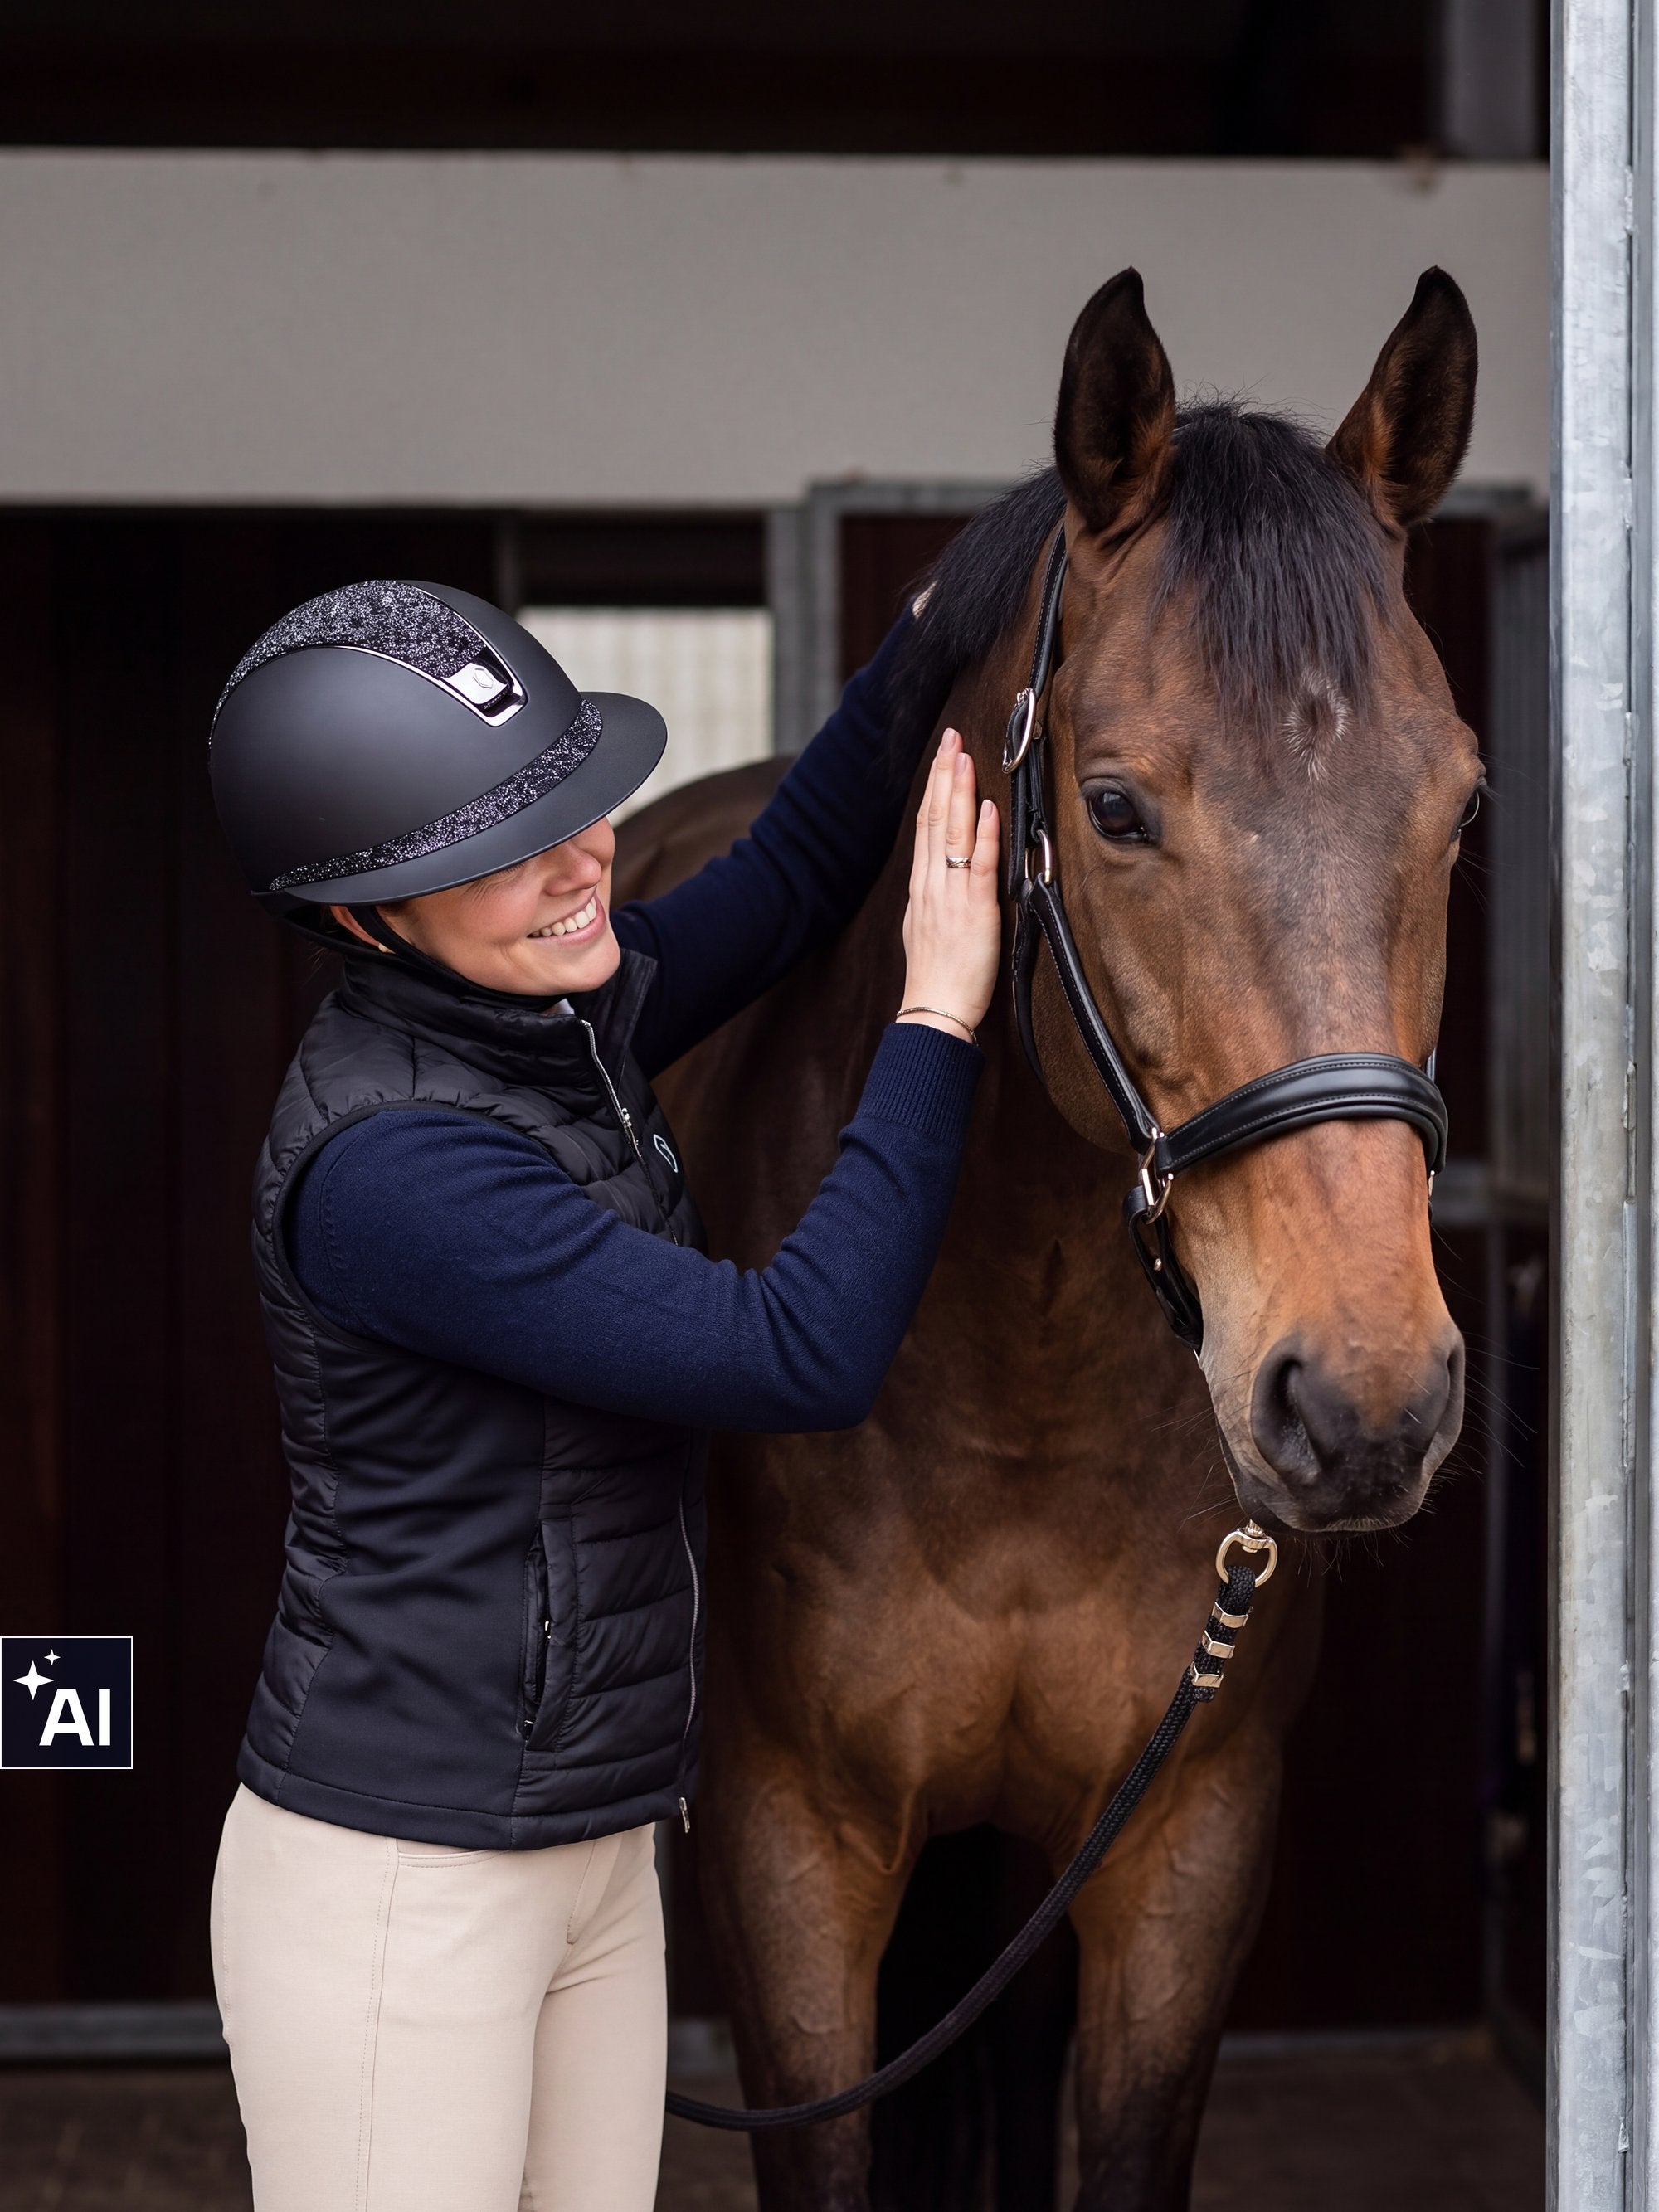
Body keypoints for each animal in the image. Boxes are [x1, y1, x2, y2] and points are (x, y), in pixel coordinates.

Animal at [614, 266, 1479, 2212]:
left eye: (1463, 804)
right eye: (1115, 804)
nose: (1366, 1401)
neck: (1021, 1395)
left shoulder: (1183, 1847)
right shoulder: (791, 1850)